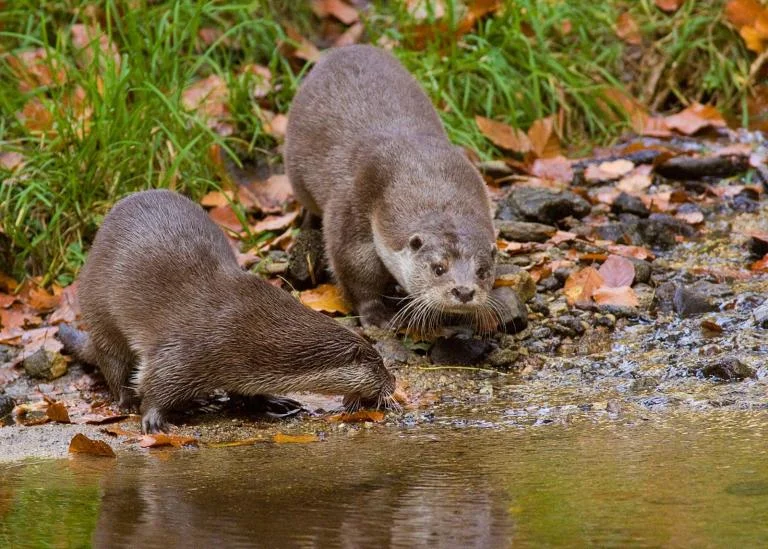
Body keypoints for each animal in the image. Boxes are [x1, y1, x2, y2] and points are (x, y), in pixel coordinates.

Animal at [59, 190, 396, 433]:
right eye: (380, 363)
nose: (394, 383)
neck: (252, 330)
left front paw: (273, 401)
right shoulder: (188, 349)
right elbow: (156, 381)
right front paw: (152, 417)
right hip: (101, 314)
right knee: (113, 364)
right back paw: (128, 400)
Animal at [285, 45, 499, 330]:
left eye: (482, 271)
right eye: (438, 268)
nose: (464, 291)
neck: (422, 171)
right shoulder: (354, 200)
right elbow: (356, 268)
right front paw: (376, 315)